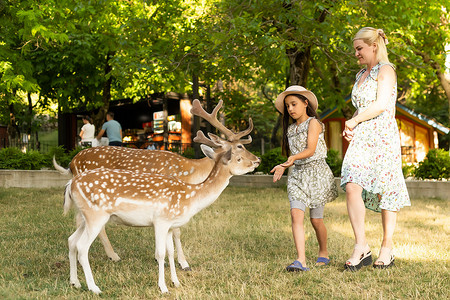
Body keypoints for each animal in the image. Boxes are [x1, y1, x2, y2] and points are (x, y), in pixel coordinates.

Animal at [53, 99, 253, 270]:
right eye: (240, 148)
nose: (257, 160)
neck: (193, 173)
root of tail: (72, 163)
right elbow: (177, 232)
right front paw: (183, 263)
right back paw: (113, 256)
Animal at [63, 129, 260, 292]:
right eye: (238, 155)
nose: (256, 162)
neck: (191, 196)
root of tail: (70, 183)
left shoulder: (170, 225)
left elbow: (170, 252)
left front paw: (176, 282)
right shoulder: (161, 220)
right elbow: (160, 253)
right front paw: (163, 287)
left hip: (86, 216)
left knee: (72, 240)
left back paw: (75, 282)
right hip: (95, 215)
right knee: (82, 246)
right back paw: (94, 287)